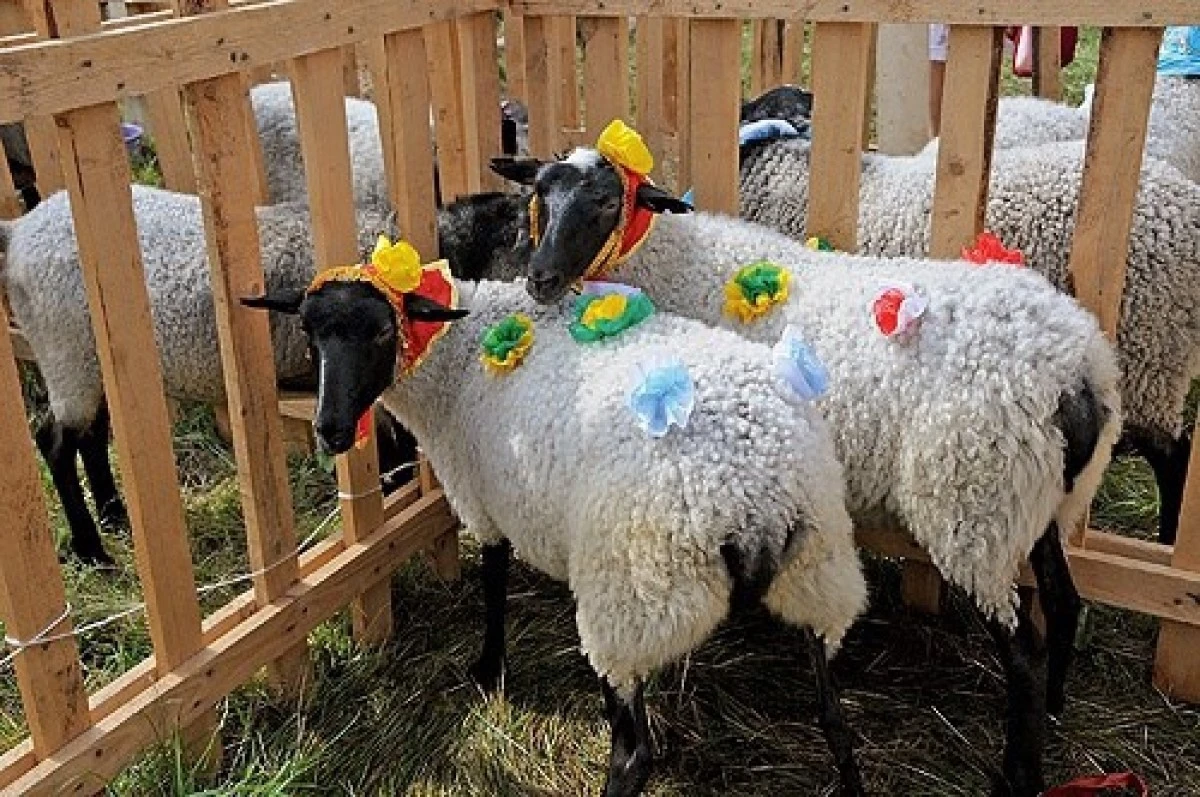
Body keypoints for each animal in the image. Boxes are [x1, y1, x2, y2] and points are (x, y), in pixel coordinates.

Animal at [0, 184, 404, 566]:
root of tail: (20, 230)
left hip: (88, 363)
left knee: (92, 436)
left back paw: (114, 516)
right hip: (64, 350)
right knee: (55, 442)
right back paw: (93, 552)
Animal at [243, 254, 870, 797]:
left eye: (379, 333)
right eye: (308, 331)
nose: (330, 431)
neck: (457, 357)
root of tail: (753, 492)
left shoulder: (485, 501)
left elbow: (494, 582)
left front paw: (489, 668)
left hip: (633, 599)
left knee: (633, 753)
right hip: (821, 573)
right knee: (835, 720)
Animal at [492, 144, 1123, 797]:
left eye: (606, 202)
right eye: (541, 192)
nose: (539, 278)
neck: (678, 267)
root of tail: (1075, 369)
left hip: (976, 505)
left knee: (1024, 647)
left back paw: (1017, 773)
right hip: (1040, 500)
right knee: (1064, 600)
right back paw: (1056, 710)